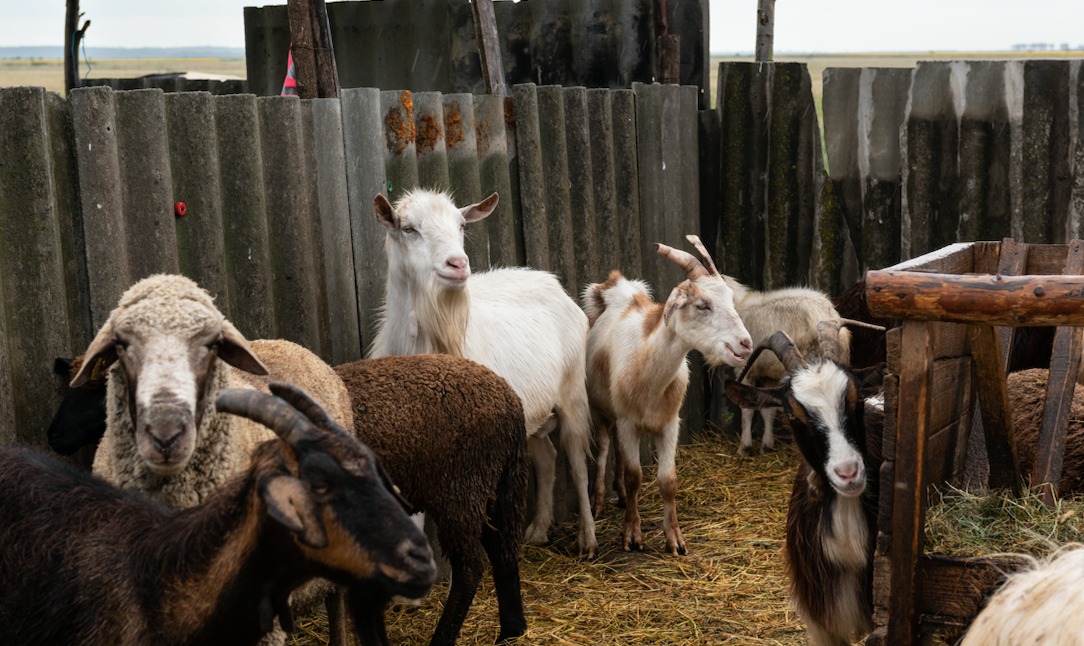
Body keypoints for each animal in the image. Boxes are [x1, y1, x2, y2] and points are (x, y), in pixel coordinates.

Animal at [334, 354, 529, 646]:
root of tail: (510, 399)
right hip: (499, 484)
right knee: (503, 551)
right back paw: (512, 631)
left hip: (462, 488)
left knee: (470, 569)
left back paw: (443, 638)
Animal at [370, 188, 598, 556]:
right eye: (408, 228)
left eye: (461, 225)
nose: (458, 264)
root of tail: (550, 280)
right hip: (528, 413)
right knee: (547, 457)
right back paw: (538, 529)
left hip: (573, 393)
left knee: (577, 463)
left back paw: (587, 539)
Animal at [583, 235, 752, 555]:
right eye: (702, 305)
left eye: (730, 299)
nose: (745, 344)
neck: (648, 369)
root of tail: (616, 286)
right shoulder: (627, 422)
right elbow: (635, 476)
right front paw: (632, 535)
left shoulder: (670, 423)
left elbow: (668, 479)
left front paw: (675, 539)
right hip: (599, 410)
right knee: (604, 447)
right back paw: (598, 500)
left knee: (620, 453)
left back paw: (620, 496)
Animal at [725, 274, 853, 456]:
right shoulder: (769, 375)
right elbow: (768, 410)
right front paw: (766, 446)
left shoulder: (745, 370)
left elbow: (747, 410)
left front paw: (744, 448)